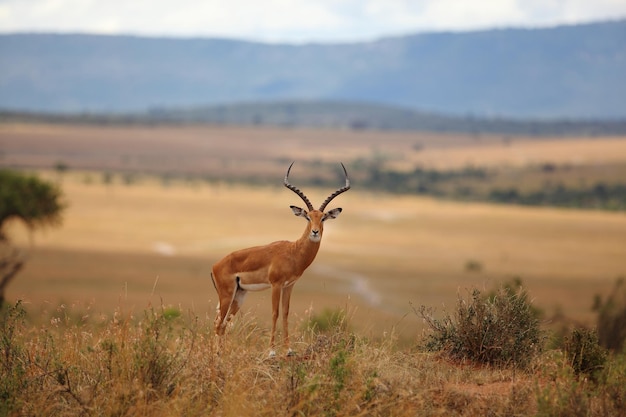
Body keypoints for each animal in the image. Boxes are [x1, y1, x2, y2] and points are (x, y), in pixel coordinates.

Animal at [208, 161, 346, 356]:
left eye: (323, 218)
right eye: (308, 217)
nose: (315, 232)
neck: (293, 252)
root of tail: (215, 266)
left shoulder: (289, 285)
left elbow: (286, 313)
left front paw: (288, 350)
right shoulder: (276, 284)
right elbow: (275, 313)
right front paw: (271, 351)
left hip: (239, 294)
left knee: (223, 323)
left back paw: (221, 353)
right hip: (227, 295)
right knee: (218, 324)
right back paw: (217, 355)